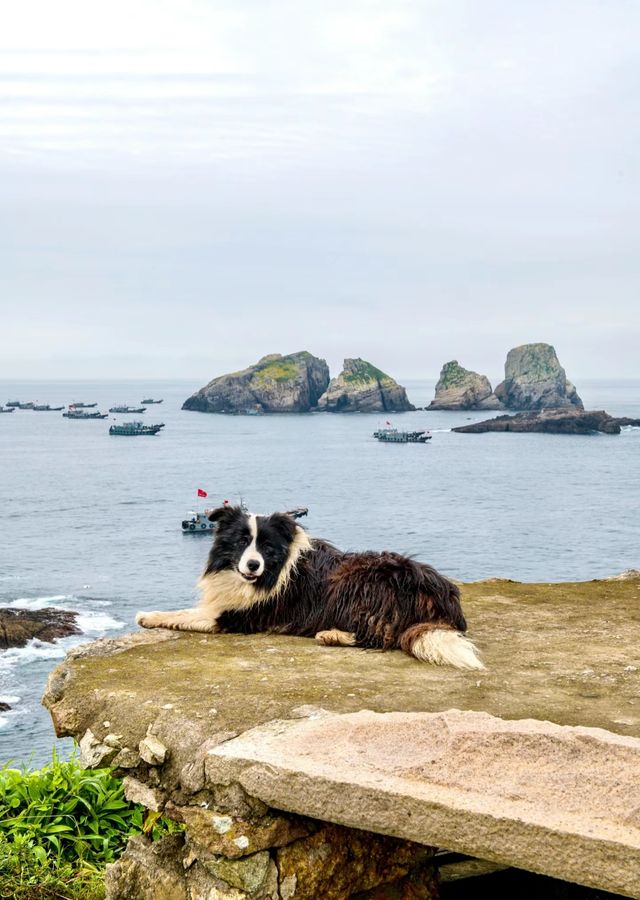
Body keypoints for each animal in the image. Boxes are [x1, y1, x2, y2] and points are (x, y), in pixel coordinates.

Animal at [136, 506, 484, 668]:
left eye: (266, 547)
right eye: (241, 542)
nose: (252, 565)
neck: (273, 571)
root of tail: (441, 595)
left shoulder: (237, 616)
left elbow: (185, 614)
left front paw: (148, 616)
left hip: (355, 583)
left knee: (381, 637)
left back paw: (332, 635)